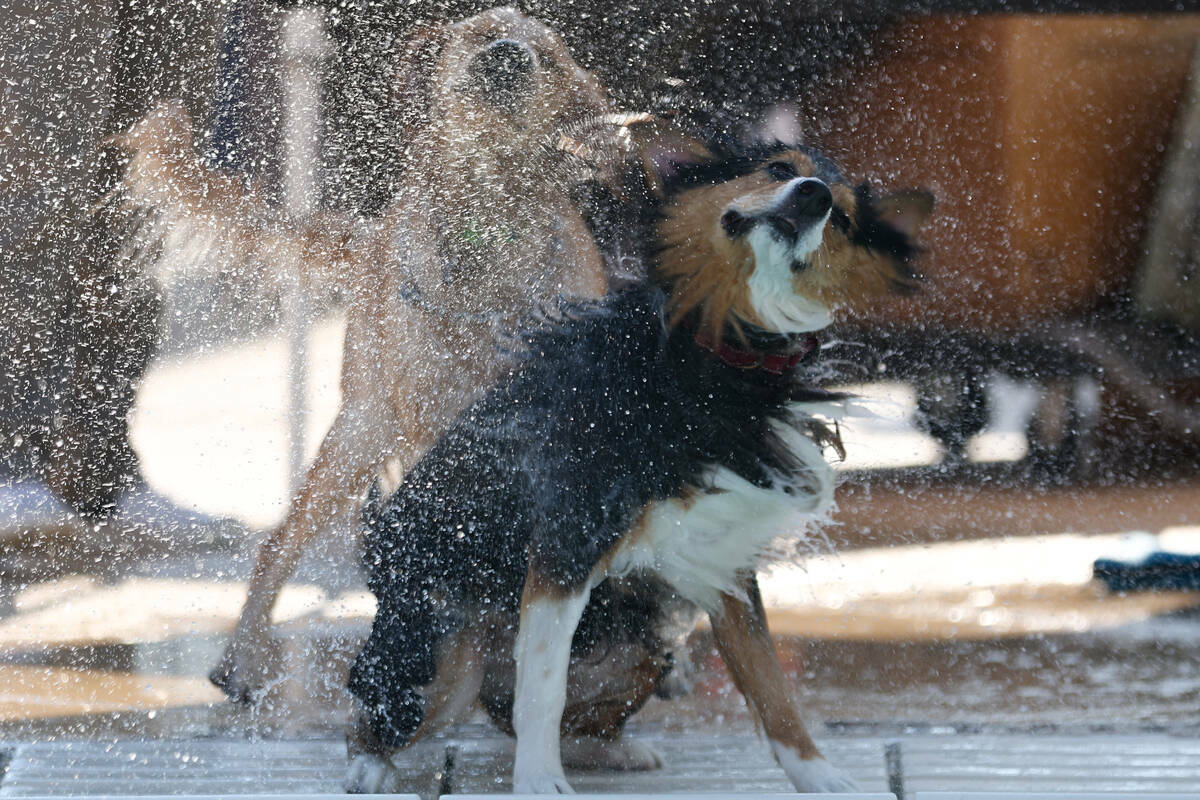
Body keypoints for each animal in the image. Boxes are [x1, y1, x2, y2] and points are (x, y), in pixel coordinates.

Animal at [117, 6, 614, 700]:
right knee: (278, 545)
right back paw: (240, 661)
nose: (508, 56)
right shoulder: (434, 422)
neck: (483, 230)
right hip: (359, 431)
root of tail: (374, 238)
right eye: (482, 32)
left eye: (547, 55)